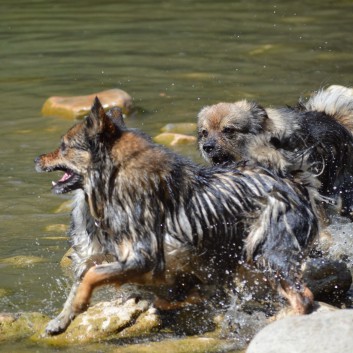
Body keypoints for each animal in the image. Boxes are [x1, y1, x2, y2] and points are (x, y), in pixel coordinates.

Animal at [34, 97, 318, 334]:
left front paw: (82, 303)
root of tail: (296, 186)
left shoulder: (144, 256)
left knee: (304, 296)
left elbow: (93, 276)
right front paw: (62, 319)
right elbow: (83, 280)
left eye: (63, 147)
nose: (37, 158)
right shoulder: (96, 255)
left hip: (267, 251)